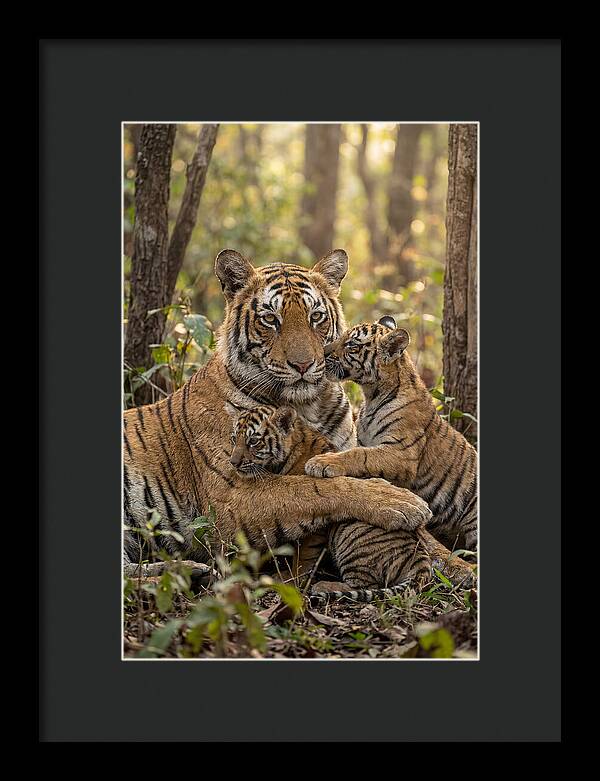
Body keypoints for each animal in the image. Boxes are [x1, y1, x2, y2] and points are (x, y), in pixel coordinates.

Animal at [123, 250, 432, 568]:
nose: (303, 365)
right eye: (270, 319)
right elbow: (312, 488)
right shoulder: (231, 496)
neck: (307, 406)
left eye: (316, 317)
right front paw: (401, 501)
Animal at [226, 401, 476, 593]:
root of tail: (420, 561)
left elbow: (305, 554)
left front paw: (290, 578)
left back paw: (326, 586)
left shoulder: (317, 524)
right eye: (233, 439)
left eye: (253, 441)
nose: (233, 462)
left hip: (350, 535)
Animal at [305, 316, 478, 555]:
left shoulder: (402, 453)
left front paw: (322, 462)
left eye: (352, 345)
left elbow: (360, 455)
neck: (371, 395)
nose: (322, 352)